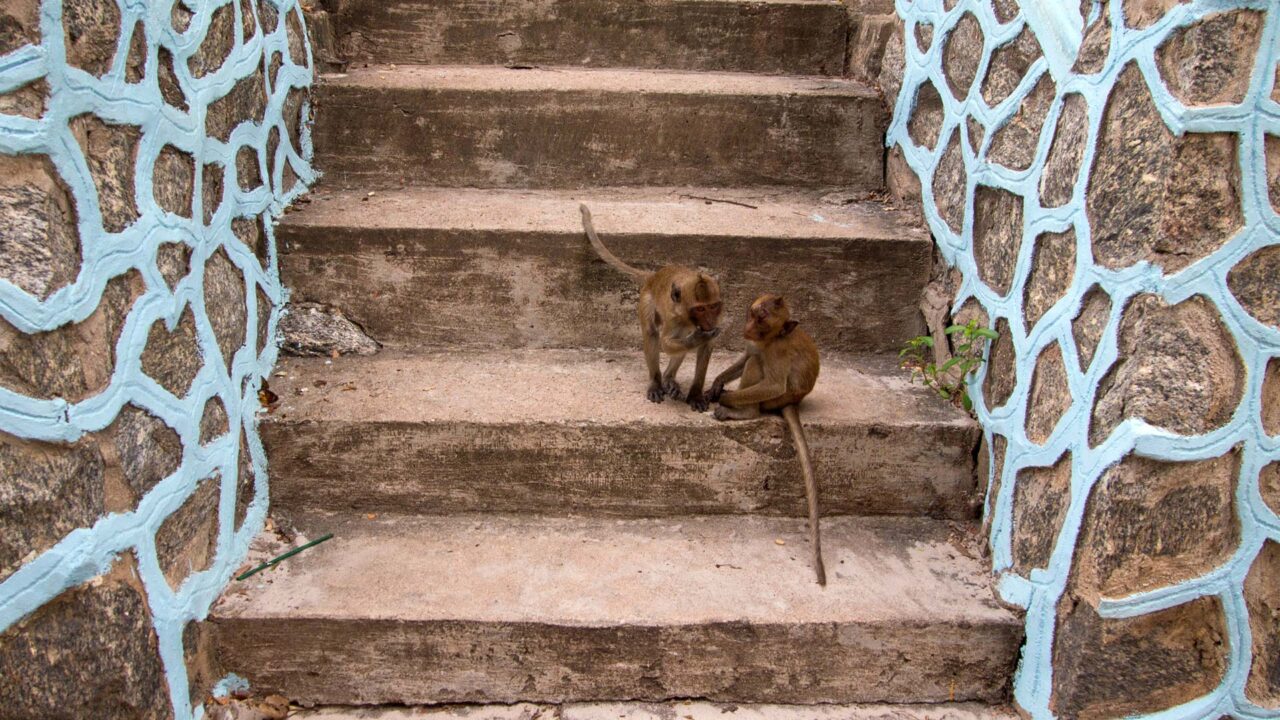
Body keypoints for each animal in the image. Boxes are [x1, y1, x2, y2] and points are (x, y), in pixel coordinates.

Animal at [581, 202, 721, 409]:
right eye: (700, 309)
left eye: (712, 307)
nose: (710, 322)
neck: (688, 316)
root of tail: (653, 277)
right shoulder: (675, 319)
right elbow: (666, 342)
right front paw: (697, 338)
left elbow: (706, 347)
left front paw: (696, 394)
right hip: (647, 300)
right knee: (652, 332)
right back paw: (656, 381)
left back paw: (669, 378)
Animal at [706, 294, 824, 579]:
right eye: (753, 314)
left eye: (763, 323)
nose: (747, 330)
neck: (769, 340)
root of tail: (795, 401)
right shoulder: (756, 345)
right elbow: (748, 354)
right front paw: (717, 384)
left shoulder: (777, 352)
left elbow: (772, 383)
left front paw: (724, 397)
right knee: (753, 360)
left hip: (777, 400)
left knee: (758, 371)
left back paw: (744, 411)